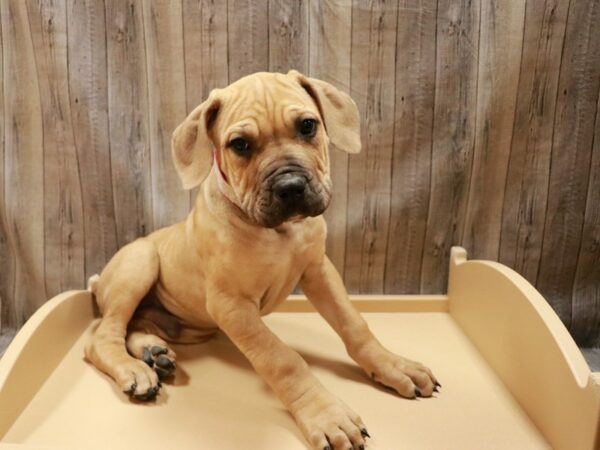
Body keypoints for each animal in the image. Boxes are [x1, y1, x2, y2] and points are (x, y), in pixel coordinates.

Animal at [85, 71, 436, 450]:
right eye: (239, 145)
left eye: (308, 126)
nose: (291, 186)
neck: (278, 231)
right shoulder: (232, 306)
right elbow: (282, 359)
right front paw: (326, 415)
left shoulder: (319, 271)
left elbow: (354, 324)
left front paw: (393, 365)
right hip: (142, 260)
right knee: (102, 335)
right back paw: (134, 369)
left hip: (186, 325)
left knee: (133, 324)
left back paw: (153, 351)